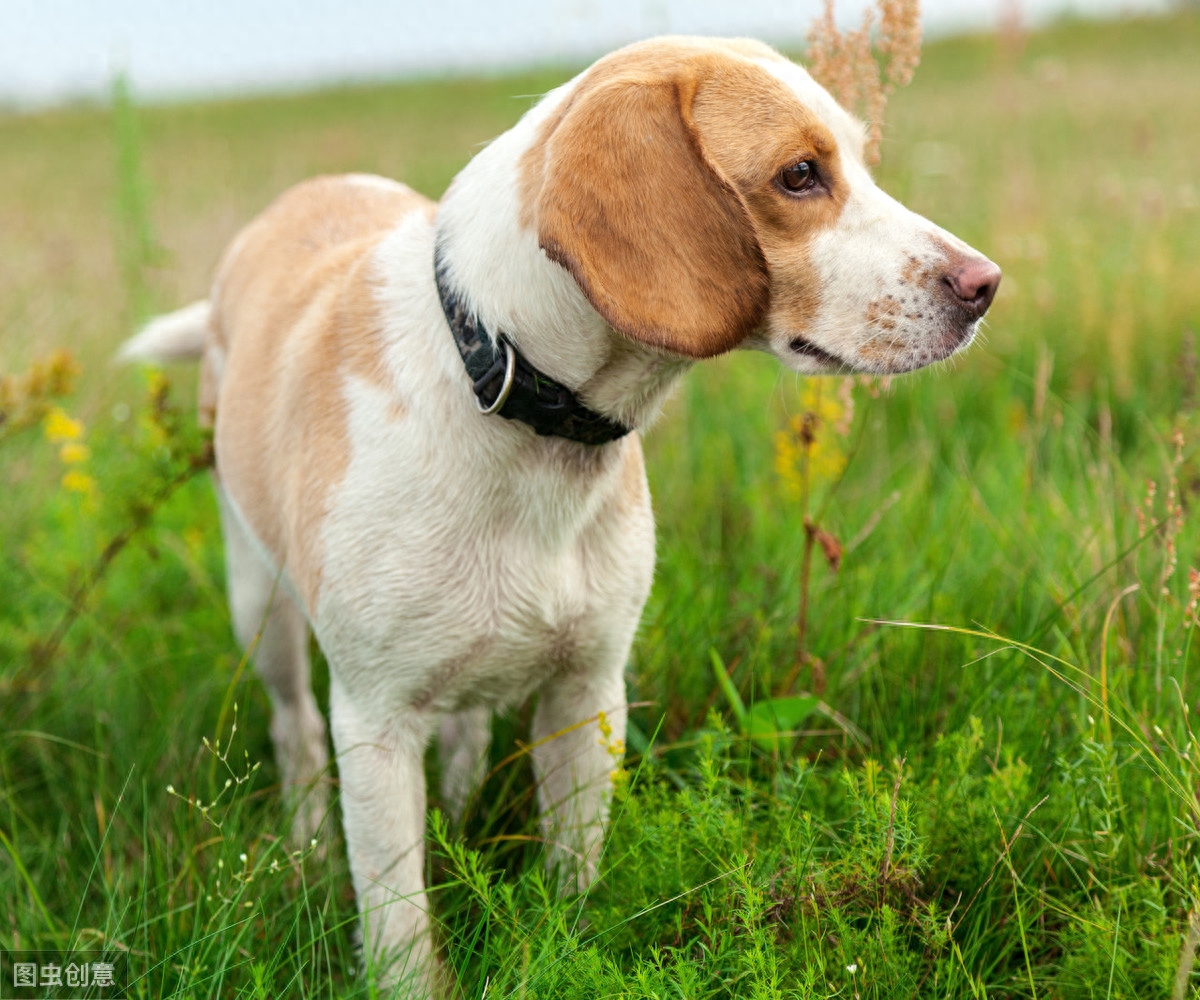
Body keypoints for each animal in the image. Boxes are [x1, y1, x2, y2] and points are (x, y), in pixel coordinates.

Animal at [121, 35, 1003, 993]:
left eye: (858, 161)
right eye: (800, 175)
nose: (985, 284)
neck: (511, 397)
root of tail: (296, 200)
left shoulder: (588, 693)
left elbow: (573, 874)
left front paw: (565, 946)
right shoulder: (375, 722)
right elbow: (398, 923)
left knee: (464, 726)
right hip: (263, 612)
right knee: (295, 733)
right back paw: (310, 849)